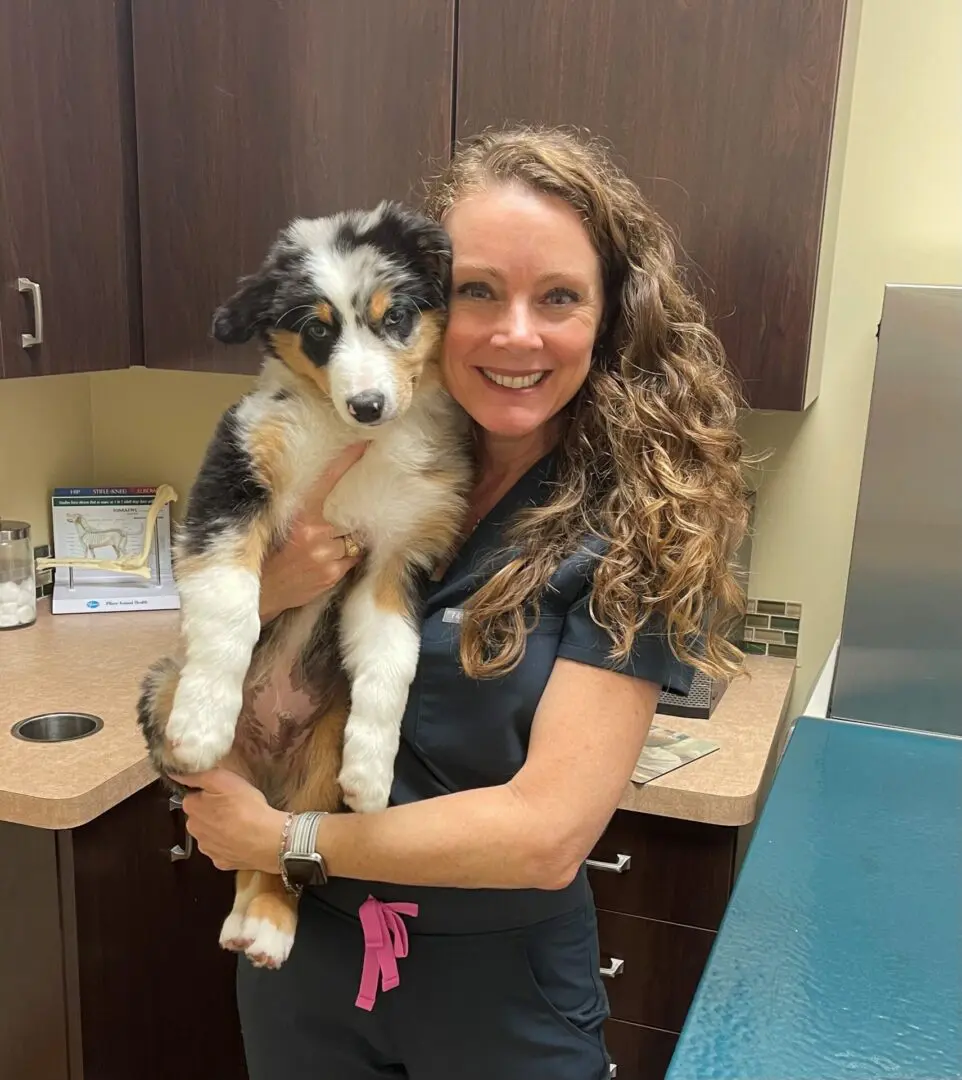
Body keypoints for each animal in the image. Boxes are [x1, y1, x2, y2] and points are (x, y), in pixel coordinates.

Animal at [136, 203, 475, 972]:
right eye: (318, 330)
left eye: (396, 316)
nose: (370, 405)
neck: (351, 441)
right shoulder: (234, 487)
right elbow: (231, 609)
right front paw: (203, 719)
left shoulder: (399, 557)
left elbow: (392, 663)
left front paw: (374, 773)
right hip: (167, 702)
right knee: (241, 837)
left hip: (316, 752)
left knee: (281, 837)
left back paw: (265, 923)